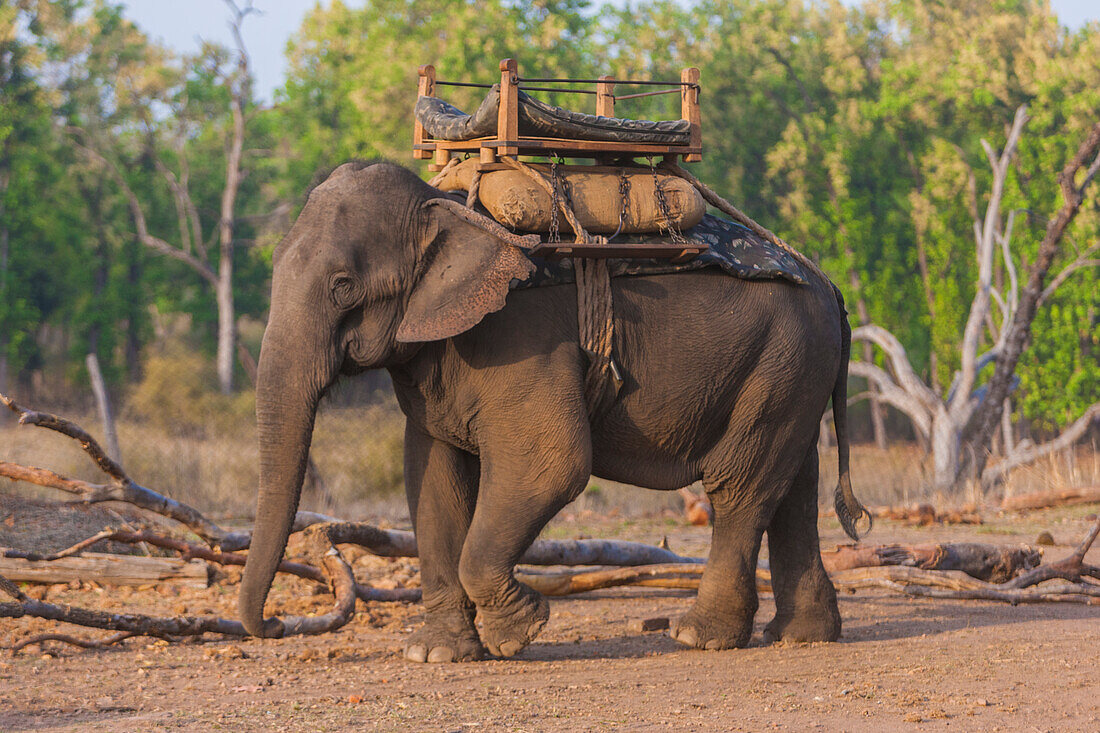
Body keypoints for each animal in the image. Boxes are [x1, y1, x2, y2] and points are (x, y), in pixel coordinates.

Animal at [240, 159, 866, 660]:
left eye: (343, 287)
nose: (276, 625)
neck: (446, 209)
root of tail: (830, 286)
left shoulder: (523, 340)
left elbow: (551, 466)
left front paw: (519, 634)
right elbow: (432, 479)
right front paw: (437, 655)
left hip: (782, 355)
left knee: (739, 486)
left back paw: (698, 637)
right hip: (793, 368)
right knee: (792, 485)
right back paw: (801, 636)